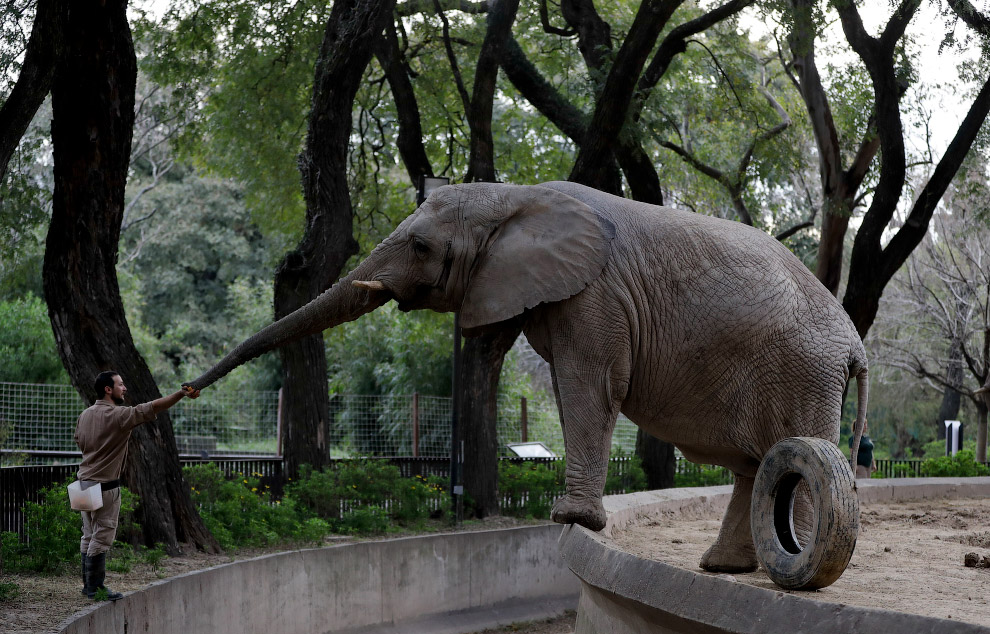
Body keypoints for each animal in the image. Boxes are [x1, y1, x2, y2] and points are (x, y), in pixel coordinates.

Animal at [186, 180, 868, 572]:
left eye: (421, 246)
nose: (187, 389)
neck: (516, 195)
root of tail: (855, 342)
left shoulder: (596, 293)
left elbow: (590, 385)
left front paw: (571, 522)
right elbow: (538, 377)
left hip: (802, 372)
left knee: (795, 462)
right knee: (756, 468)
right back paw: (720, 569)